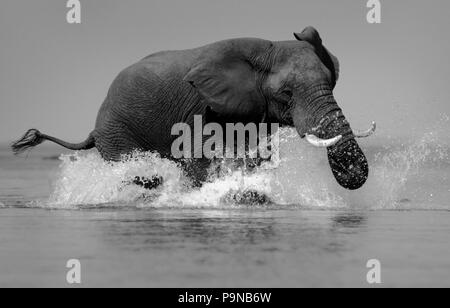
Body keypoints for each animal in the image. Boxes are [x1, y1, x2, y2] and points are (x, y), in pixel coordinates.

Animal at [12, 26, 374, 190]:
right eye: (286, 94)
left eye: (331, 82)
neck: (266, 49)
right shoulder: (201, 107)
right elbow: (199, 155)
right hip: (115, 130)